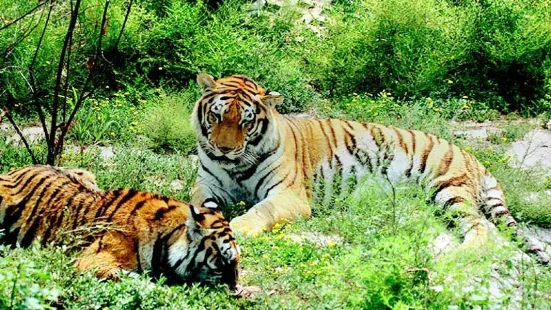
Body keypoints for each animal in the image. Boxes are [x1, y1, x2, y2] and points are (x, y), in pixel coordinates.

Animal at [191, 72, 551, 264]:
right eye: (217, 116)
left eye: (246, 123)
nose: (223, 148)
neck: (236, 164)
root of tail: (473, 156)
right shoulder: (208, 184)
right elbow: (199, 203)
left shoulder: (289, 195)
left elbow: (261, 210)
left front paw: (237, 226)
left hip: (449, 188)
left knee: (482, 229)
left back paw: (453, 256)